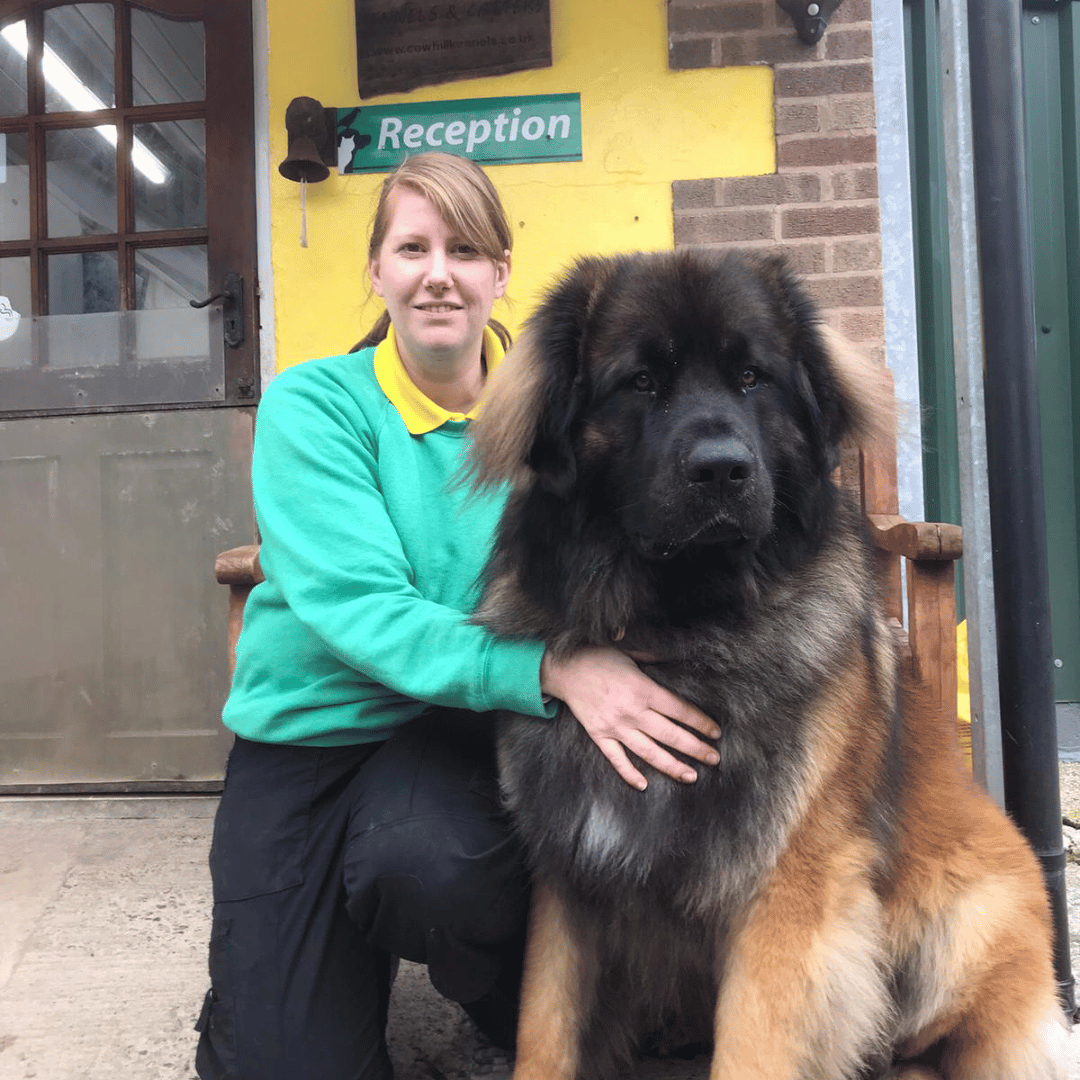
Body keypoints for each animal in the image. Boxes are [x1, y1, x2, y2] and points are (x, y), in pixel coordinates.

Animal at [468, 248, 1067, 1075]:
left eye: (752, 377)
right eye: (641, 381)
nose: (722, 471)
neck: (684, 628)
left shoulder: (787, 885)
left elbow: (752, 1047)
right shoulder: (570, 865)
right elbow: (545, 1025)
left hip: (967, 920)